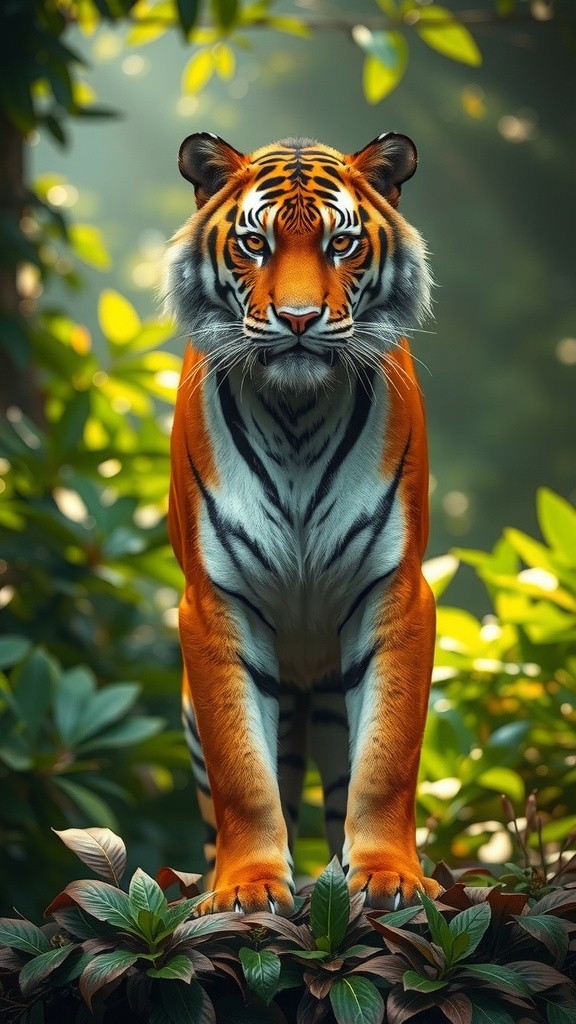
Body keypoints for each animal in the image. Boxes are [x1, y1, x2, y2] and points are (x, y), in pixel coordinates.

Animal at [164, 132, 443, 915]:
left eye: (340, 242)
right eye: (254, 243)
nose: (296, 321)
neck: (297, 416)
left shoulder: (396, 591)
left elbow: (385, 761)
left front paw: (390, 876)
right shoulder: (215, 603)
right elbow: (242, 773)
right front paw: (247, 888)